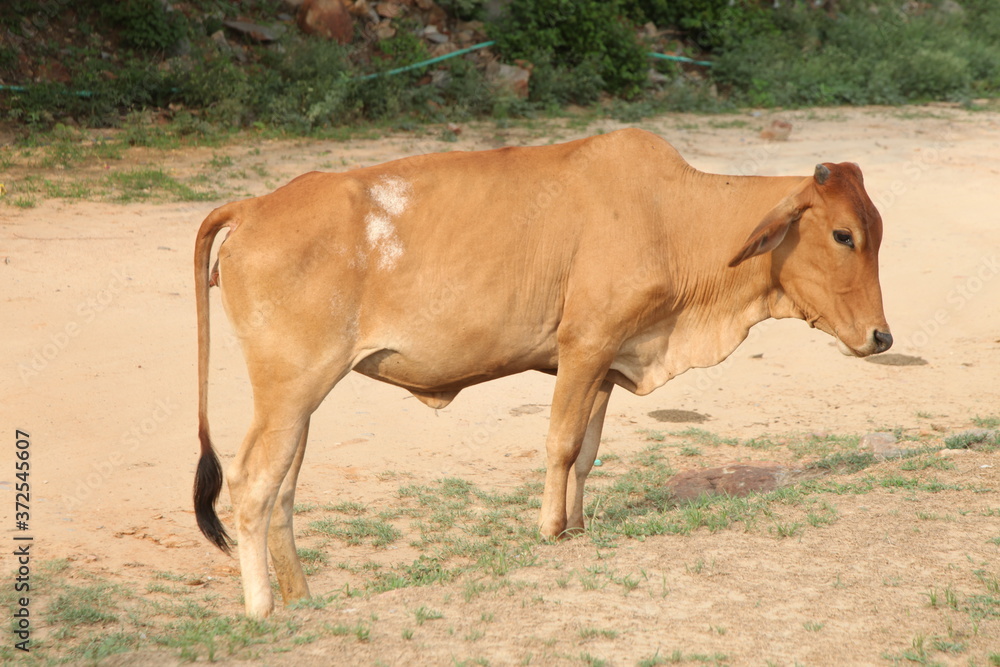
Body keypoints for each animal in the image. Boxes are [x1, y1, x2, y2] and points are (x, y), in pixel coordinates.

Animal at [193, 128, 891, 618]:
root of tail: (254, 206)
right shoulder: (584, 345)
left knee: (282, 490)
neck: (674, 218)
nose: (881, 337)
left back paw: (301, 598)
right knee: (252, 482)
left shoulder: (606, 363)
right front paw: (551, 529)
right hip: (289, 388)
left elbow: (586, 451)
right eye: (843, 236)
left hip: (300, 400)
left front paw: (577, 526)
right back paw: (261, 608)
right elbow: (559, 443)